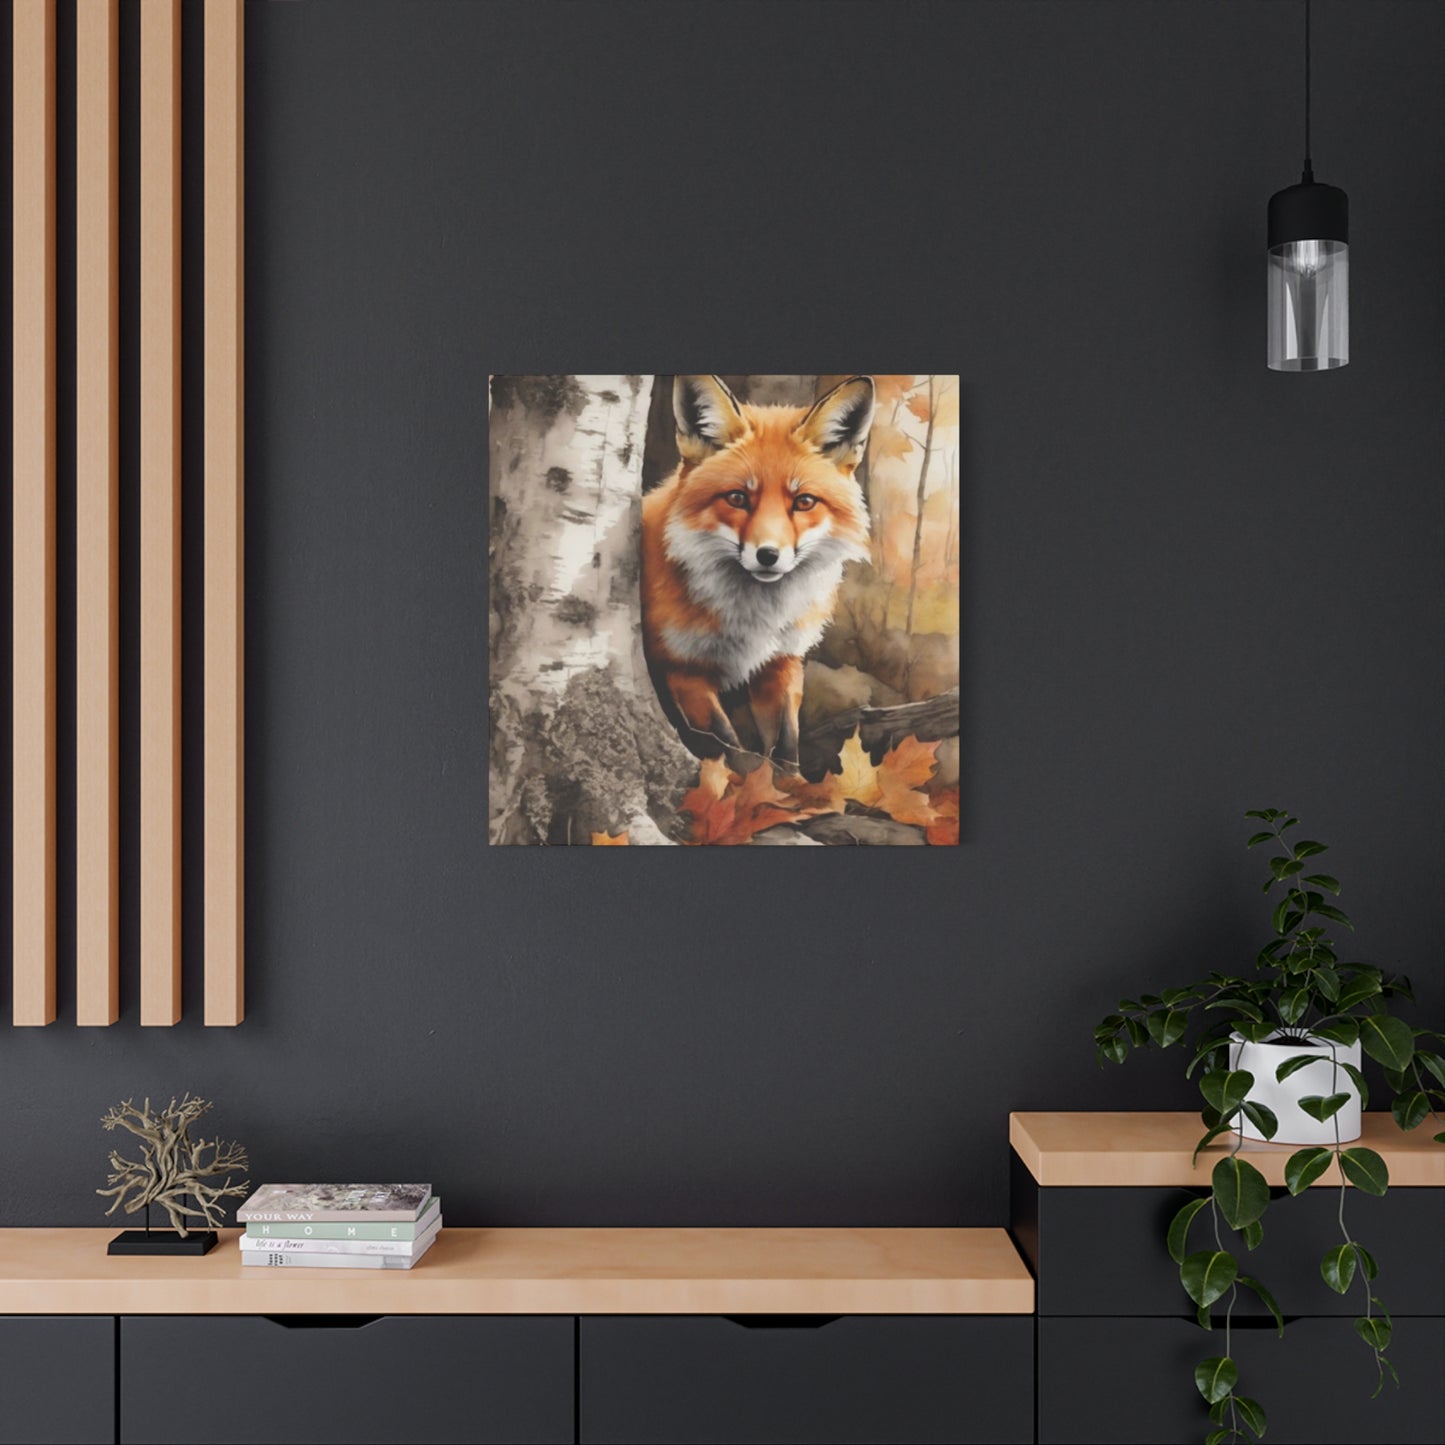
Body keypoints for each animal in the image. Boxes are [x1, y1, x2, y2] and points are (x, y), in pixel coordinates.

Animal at [641, 374, 875, 768]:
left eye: (803, 502)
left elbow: (786, 746)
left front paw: (790, 783)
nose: (768, 555)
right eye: (737, 498)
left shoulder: (782, 662)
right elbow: (729, 748)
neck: (755, 620)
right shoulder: (682, 670)